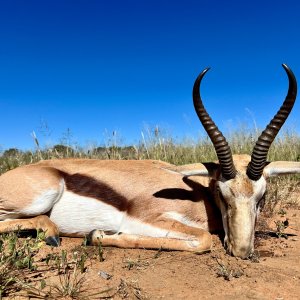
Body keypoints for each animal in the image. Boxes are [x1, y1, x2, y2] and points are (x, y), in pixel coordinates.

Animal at [0, 63, 298, 258]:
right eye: (222, 194)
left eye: (262, 197)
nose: (242, 251)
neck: (196, 195)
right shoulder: (144, 219)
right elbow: (203, 239)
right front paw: (98, 235)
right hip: (43, 195)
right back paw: (52, 233)